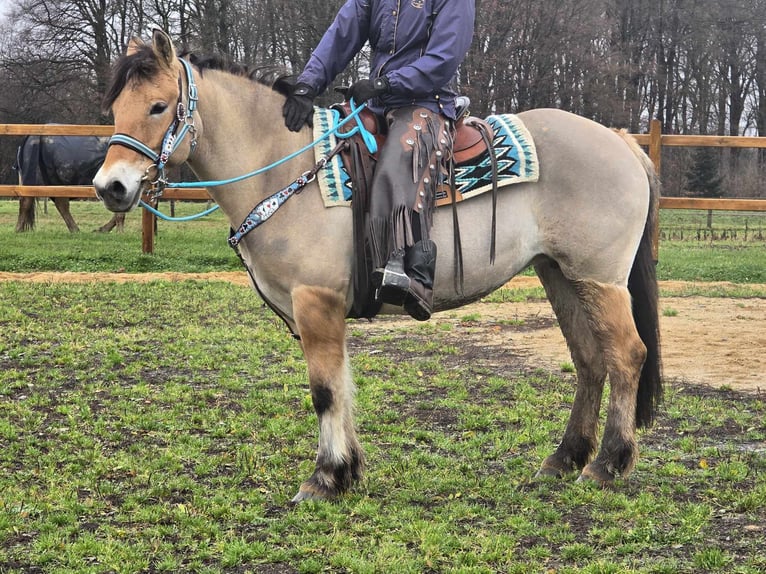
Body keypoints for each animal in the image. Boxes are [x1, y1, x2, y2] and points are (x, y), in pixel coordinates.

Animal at [93, 30, 664, 504]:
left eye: (159, 106)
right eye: (116, 106)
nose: (110, 187)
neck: (287, 165)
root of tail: (620, 140)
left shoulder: (315, 300)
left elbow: (325, 390)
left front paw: (324, 478)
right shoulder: (320, 312)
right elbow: (342, 385)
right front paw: (347, 471)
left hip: (599, 280)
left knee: (626, 356)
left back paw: (607, 465)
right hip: (559, 275)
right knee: (590, 360)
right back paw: (564, 459)